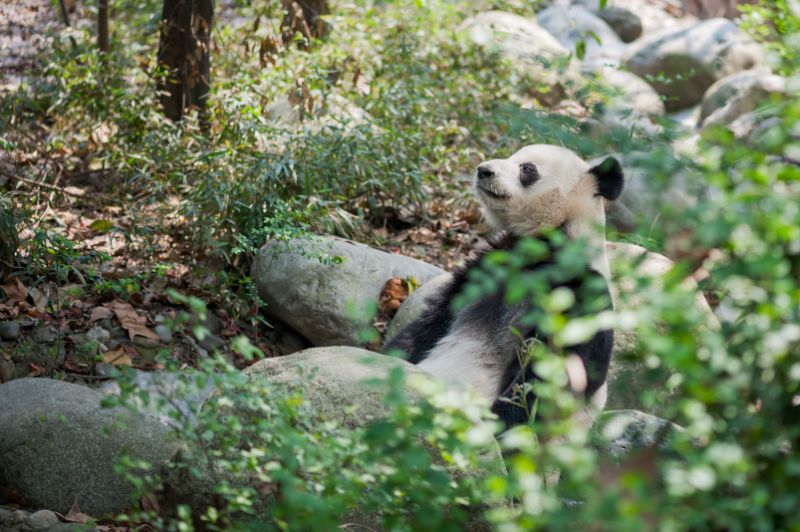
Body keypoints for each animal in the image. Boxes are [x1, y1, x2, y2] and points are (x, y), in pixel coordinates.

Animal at [384, 144, 620, 428]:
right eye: (512, 156)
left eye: (528, 168)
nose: (483, 170)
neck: (545, 245)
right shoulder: (488, 267)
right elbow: (431, 323)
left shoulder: (580, 291)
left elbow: (553, 376)